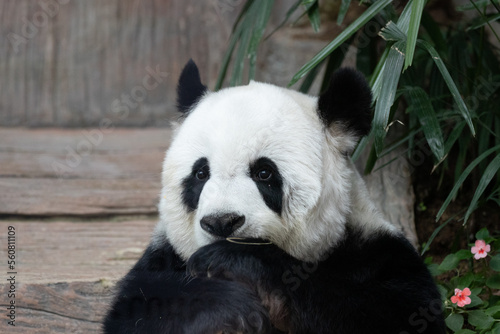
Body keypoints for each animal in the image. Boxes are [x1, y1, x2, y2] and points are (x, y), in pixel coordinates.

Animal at [104, 60, 446, 334]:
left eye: (264, 173)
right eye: (201, 174)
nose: (222, 222)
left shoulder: (373, 250)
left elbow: (400, 313)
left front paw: (237, 260)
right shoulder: (161, 259)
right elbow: (139, 312)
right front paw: (229, 308)